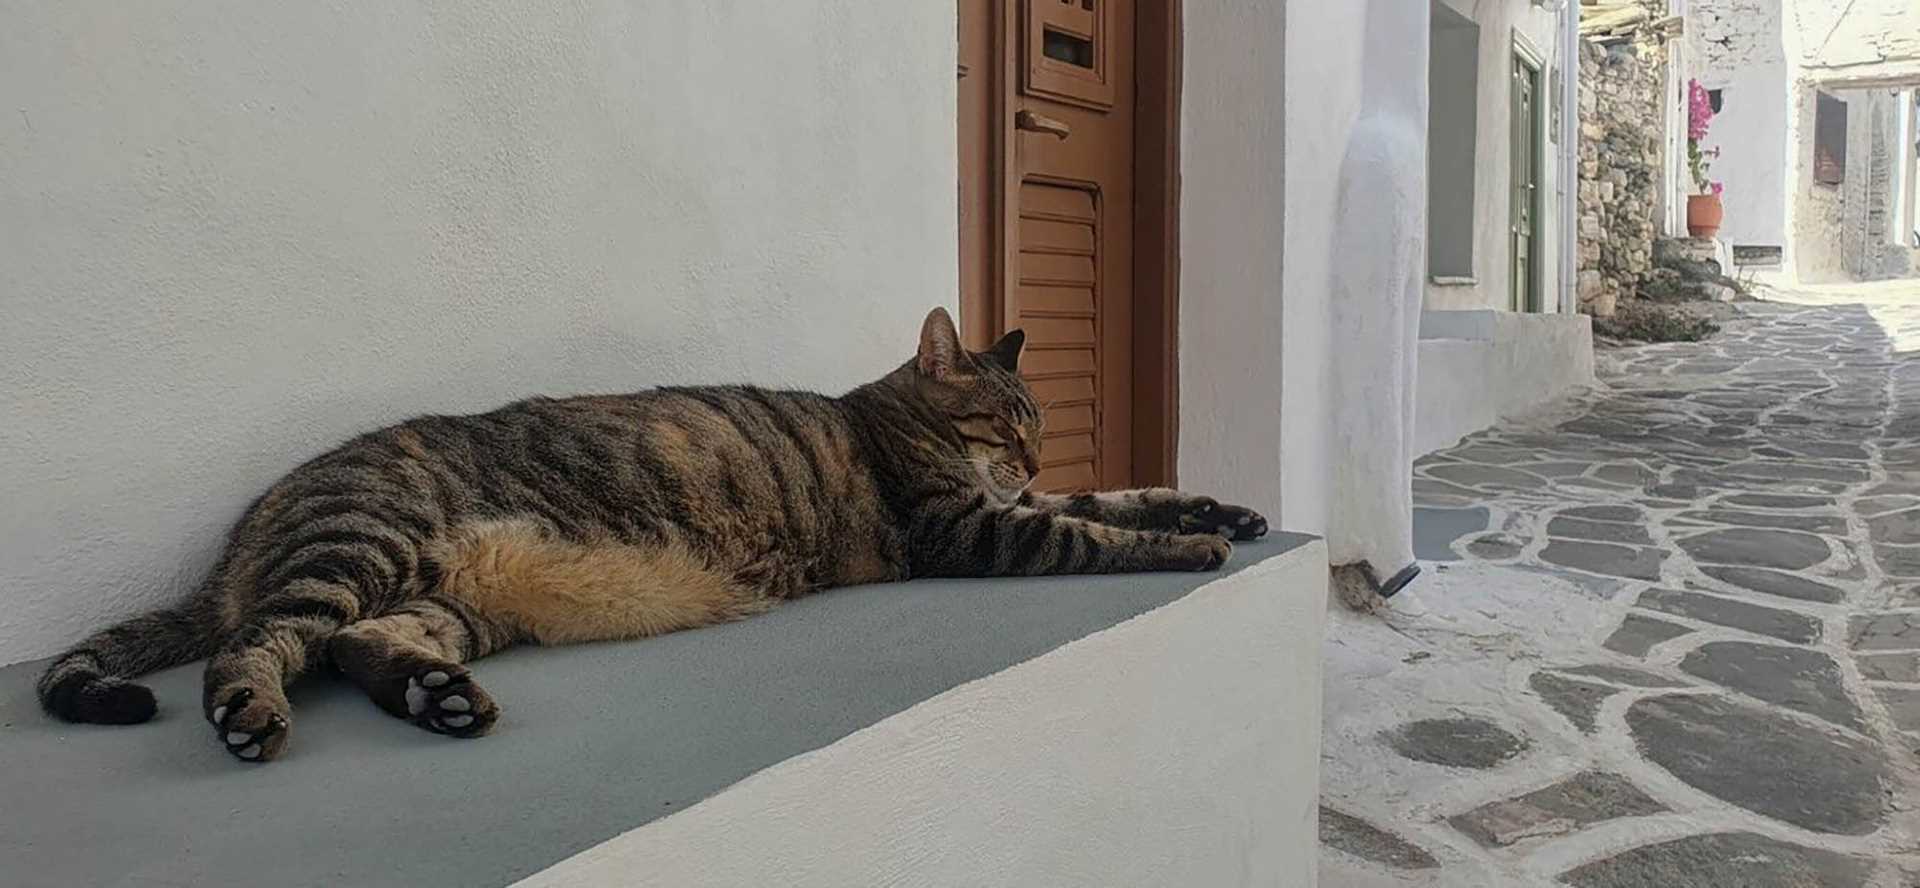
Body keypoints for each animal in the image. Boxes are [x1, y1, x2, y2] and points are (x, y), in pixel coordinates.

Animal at [37, 308, 1267, 759]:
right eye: (1007, 421)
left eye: (1042, 423)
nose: (1035, 459)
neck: (896, 419)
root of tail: (248, 524)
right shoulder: (969, 530)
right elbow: (1096, 536)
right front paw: (1193, 546)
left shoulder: (1010, 511)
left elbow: (1119, 497)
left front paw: (1227, 509)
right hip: (362, 545)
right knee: (268, 644)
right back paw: (249, 713)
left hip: (448, 599)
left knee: (354, 645)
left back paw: (435, 699)